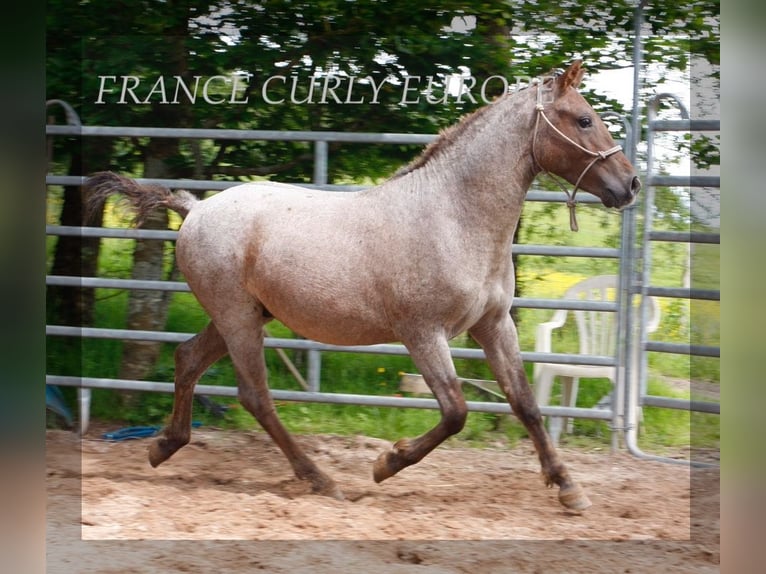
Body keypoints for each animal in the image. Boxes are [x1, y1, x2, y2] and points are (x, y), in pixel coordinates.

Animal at [87, 62, 640, 512]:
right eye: (584, 119)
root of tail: (196, 208)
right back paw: (321, 480)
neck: (455, 216)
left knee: (187, 359)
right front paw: (385, 464)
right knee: (255, 395)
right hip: (239, 319)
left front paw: (569, 489)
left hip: (239, 316)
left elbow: (525, 403)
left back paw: (162, 447)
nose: (631, 184)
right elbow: (456, 411)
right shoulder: (423, 333)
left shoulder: (492, 324)